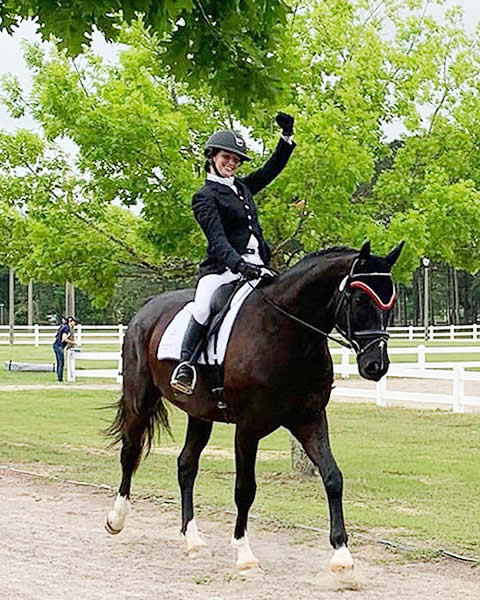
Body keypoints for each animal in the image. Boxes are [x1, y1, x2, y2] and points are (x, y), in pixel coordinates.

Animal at [106, 241, 404, 580]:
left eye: (390, 300)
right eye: (359, 298)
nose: (376, 365)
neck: (286, 332)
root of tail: (145, 311)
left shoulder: (310, 420)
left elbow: (332, 477)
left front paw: (342, 557)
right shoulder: (248, 428)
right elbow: (245, 488)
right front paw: (245, 555)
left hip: (199, 414)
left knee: (186, 466)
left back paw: (193, 541)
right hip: (140, 399)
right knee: (130, 451)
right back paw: (116, 518)